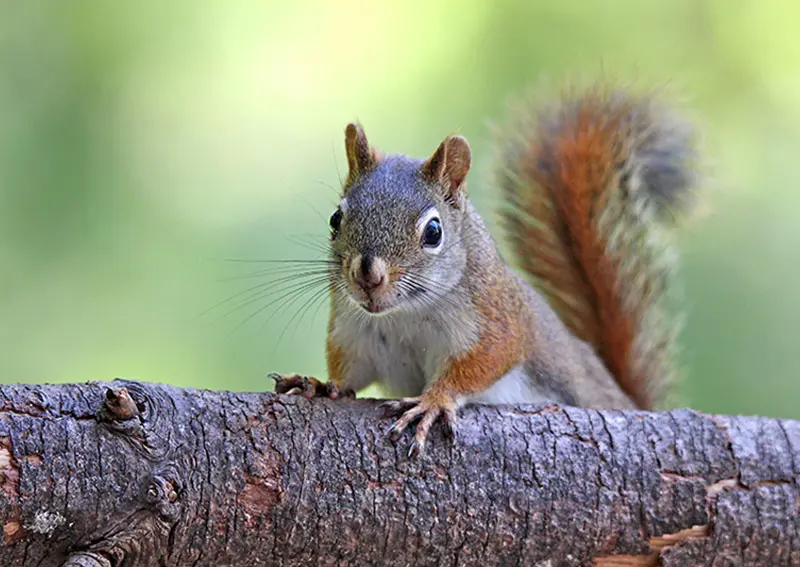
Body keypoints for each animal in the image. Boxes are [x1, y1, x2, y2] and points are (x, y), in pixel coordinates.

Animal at [271, 82, 699, 457]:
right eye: (335, 219)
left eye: (433, 231)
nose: (368, 276)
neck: (404, 315)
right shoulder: (354, 333)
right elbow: (351, 373)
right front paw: (322, 384)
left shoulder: (496, 319)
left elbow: (485, 360)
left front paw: (433, 401)